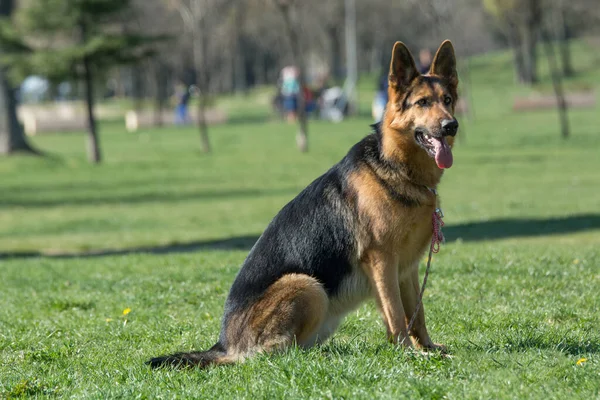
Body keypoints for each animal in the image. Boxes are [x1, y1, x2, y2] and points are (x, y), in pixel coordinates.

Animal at [150, 40, 460, 368]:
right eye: (422, 103)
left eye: (447, 100)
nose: (451, 126)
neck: (396, 167)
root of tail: (224, 345)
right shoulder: (382, 263)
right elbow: (397, 314)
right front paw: (409, 354)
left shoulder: (407, 269)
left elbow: (417, 313)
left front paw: (427, 348)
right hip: (307, 286)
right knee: (271, 354)